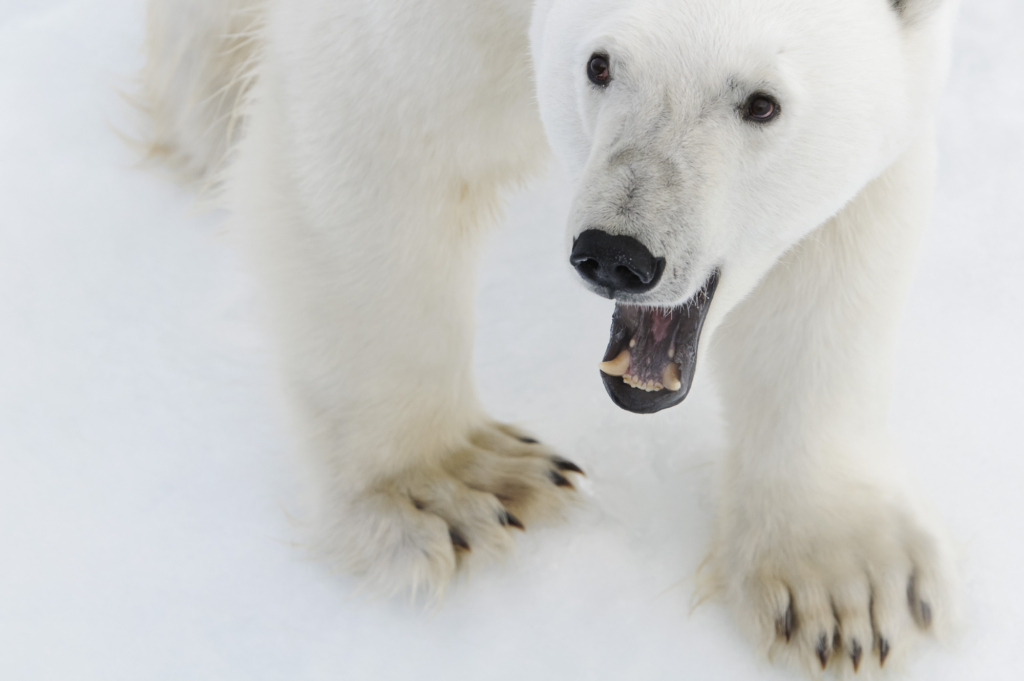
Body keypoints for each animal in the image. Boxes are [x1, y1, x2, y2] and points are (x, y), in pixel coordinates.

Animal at [138, 0, 958, 675]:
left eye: (761, 103)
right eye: (600, 64)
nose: (619, 253)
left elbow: (839, 238)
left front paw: (846, 587)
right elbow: (382, 130)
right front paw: (454, 487)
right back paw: (210, 90)